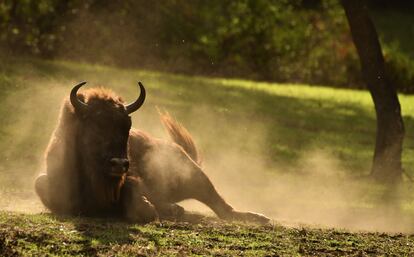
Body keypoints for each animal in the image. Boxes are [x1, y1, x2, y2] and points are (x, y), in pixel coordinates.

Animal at [34, 81, 270, 223]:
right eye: (95, 123)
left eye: (127, 125)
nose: (119, 163)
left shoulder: (132, 178)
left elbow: (137, 197)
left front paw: (149, 208)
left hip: (194, 177)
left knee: (223, 209)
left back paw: (259, 217)